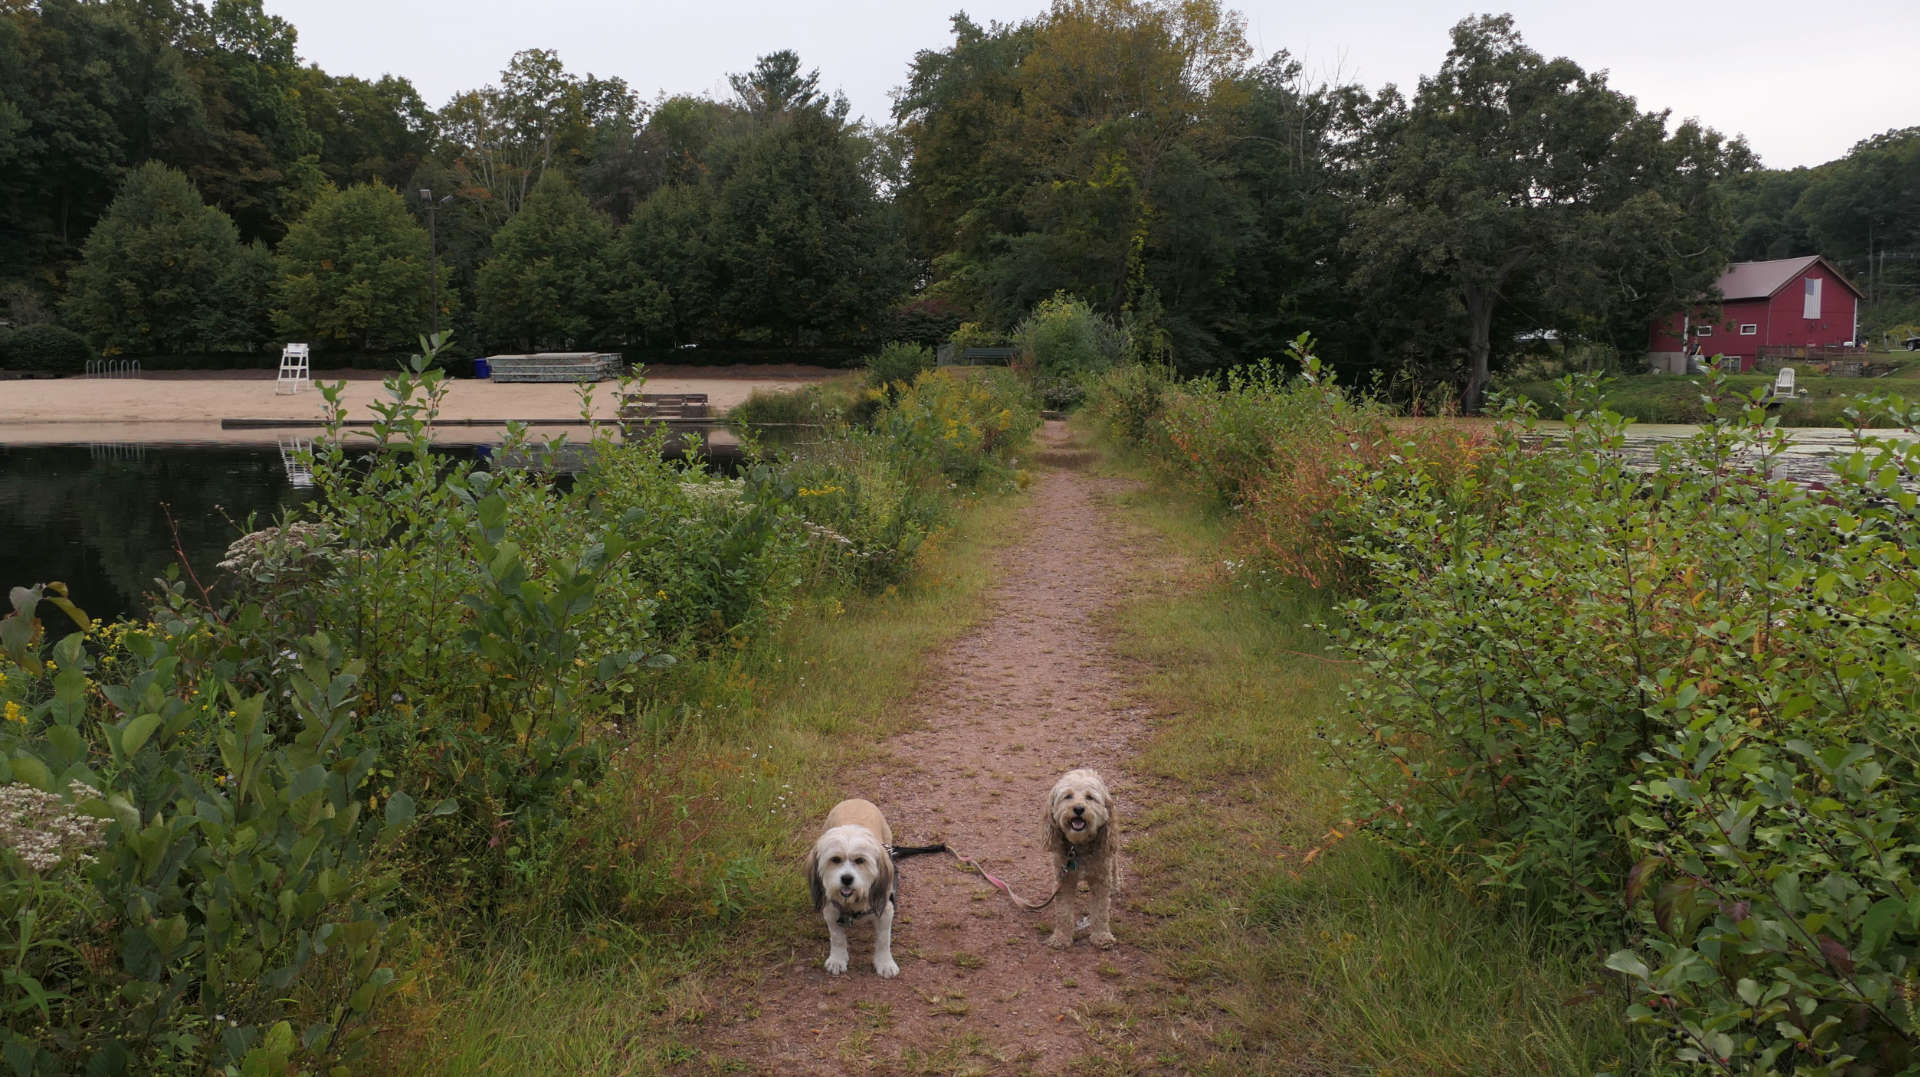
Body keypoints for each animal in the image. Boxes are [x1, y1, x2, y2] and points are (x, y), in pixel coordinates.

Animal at [806, 798, 902, 975]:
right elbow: (837, 938)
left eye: (860, 860)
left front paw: (885, 963)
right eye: (835, 859)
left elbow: (884, 940)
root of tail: (856, 799)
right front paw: (837, 959)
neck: (854, 904)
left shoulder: (885, 911)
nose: (846, 879)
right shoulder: (831, 911)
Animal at [1044, 764, 1121, 948]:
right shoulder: (1064, 880)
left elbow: (1100, 911)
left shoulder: (1101, 879)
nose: (1078, 808)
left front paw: (1102, 936)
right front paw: (1061, 937)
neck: (1079, 847)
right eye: (1068, 796)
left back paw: (1115, 886)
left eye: (1090, 797)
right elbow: (1063, 911)